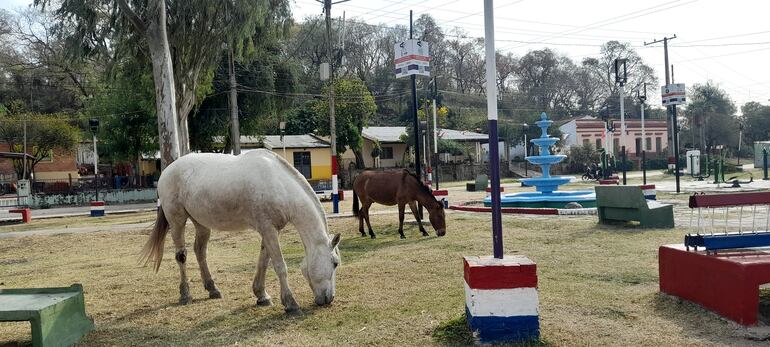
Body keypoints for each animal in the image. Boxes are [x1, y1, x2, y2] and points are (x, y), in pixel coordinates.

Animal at [141, 151, 340, 314]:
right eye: (335, 263)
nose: (329, 299)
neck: (277, 183)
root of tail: (167, 171)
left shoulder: (270, 230)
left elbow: (264, 262)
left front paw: (262, 295)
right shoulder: (268, 229)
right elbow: (279, 266)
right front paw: (291, 304)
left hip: (201, 224)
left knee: (200, 252)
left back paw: (213, 289)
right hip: (177, 221)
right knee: (181, 256)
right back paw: (185, 295)